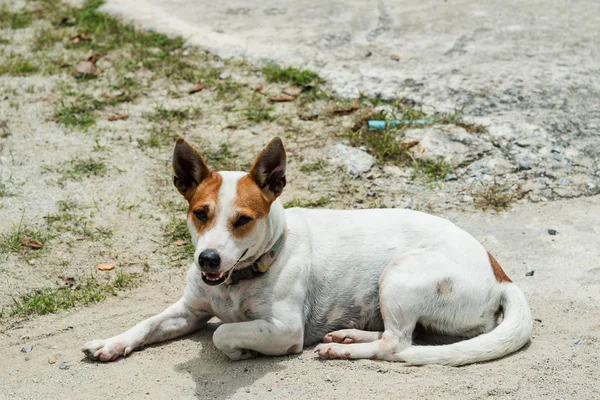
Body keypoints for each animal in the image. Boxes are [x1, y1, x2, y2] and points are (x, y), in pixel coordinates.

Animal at [82, 138, 532, 366]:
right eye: (200, 213)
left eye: (242, 219)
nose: (208, 260)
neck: (238, 280)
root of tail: (499, 273)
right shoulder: (189, 310)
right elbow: (146, 323)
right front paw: (112, 342)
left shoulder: (284, 327)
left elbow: (224, 333)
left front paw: (243, 349)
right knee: (400, 335)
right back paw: (349, 334)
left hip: (400, 274)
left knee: (398, 345)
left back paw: (342, 349)